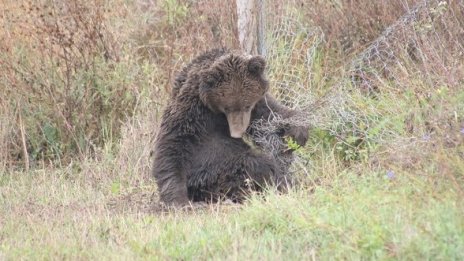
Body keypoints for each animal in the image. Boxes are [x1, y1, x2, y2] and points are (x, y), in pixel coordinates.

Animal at [152, 47, 308, 204]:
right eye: (227, 107)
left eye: (247, 105)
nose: (237, 133)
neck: (213, 110)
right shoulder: (193, 109)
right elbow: (173, 143)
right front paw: (178, 198)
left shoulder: (257, 106)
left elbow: (272, 115)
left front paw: (297, 134)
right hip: (213, 175)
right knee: (253, 163)